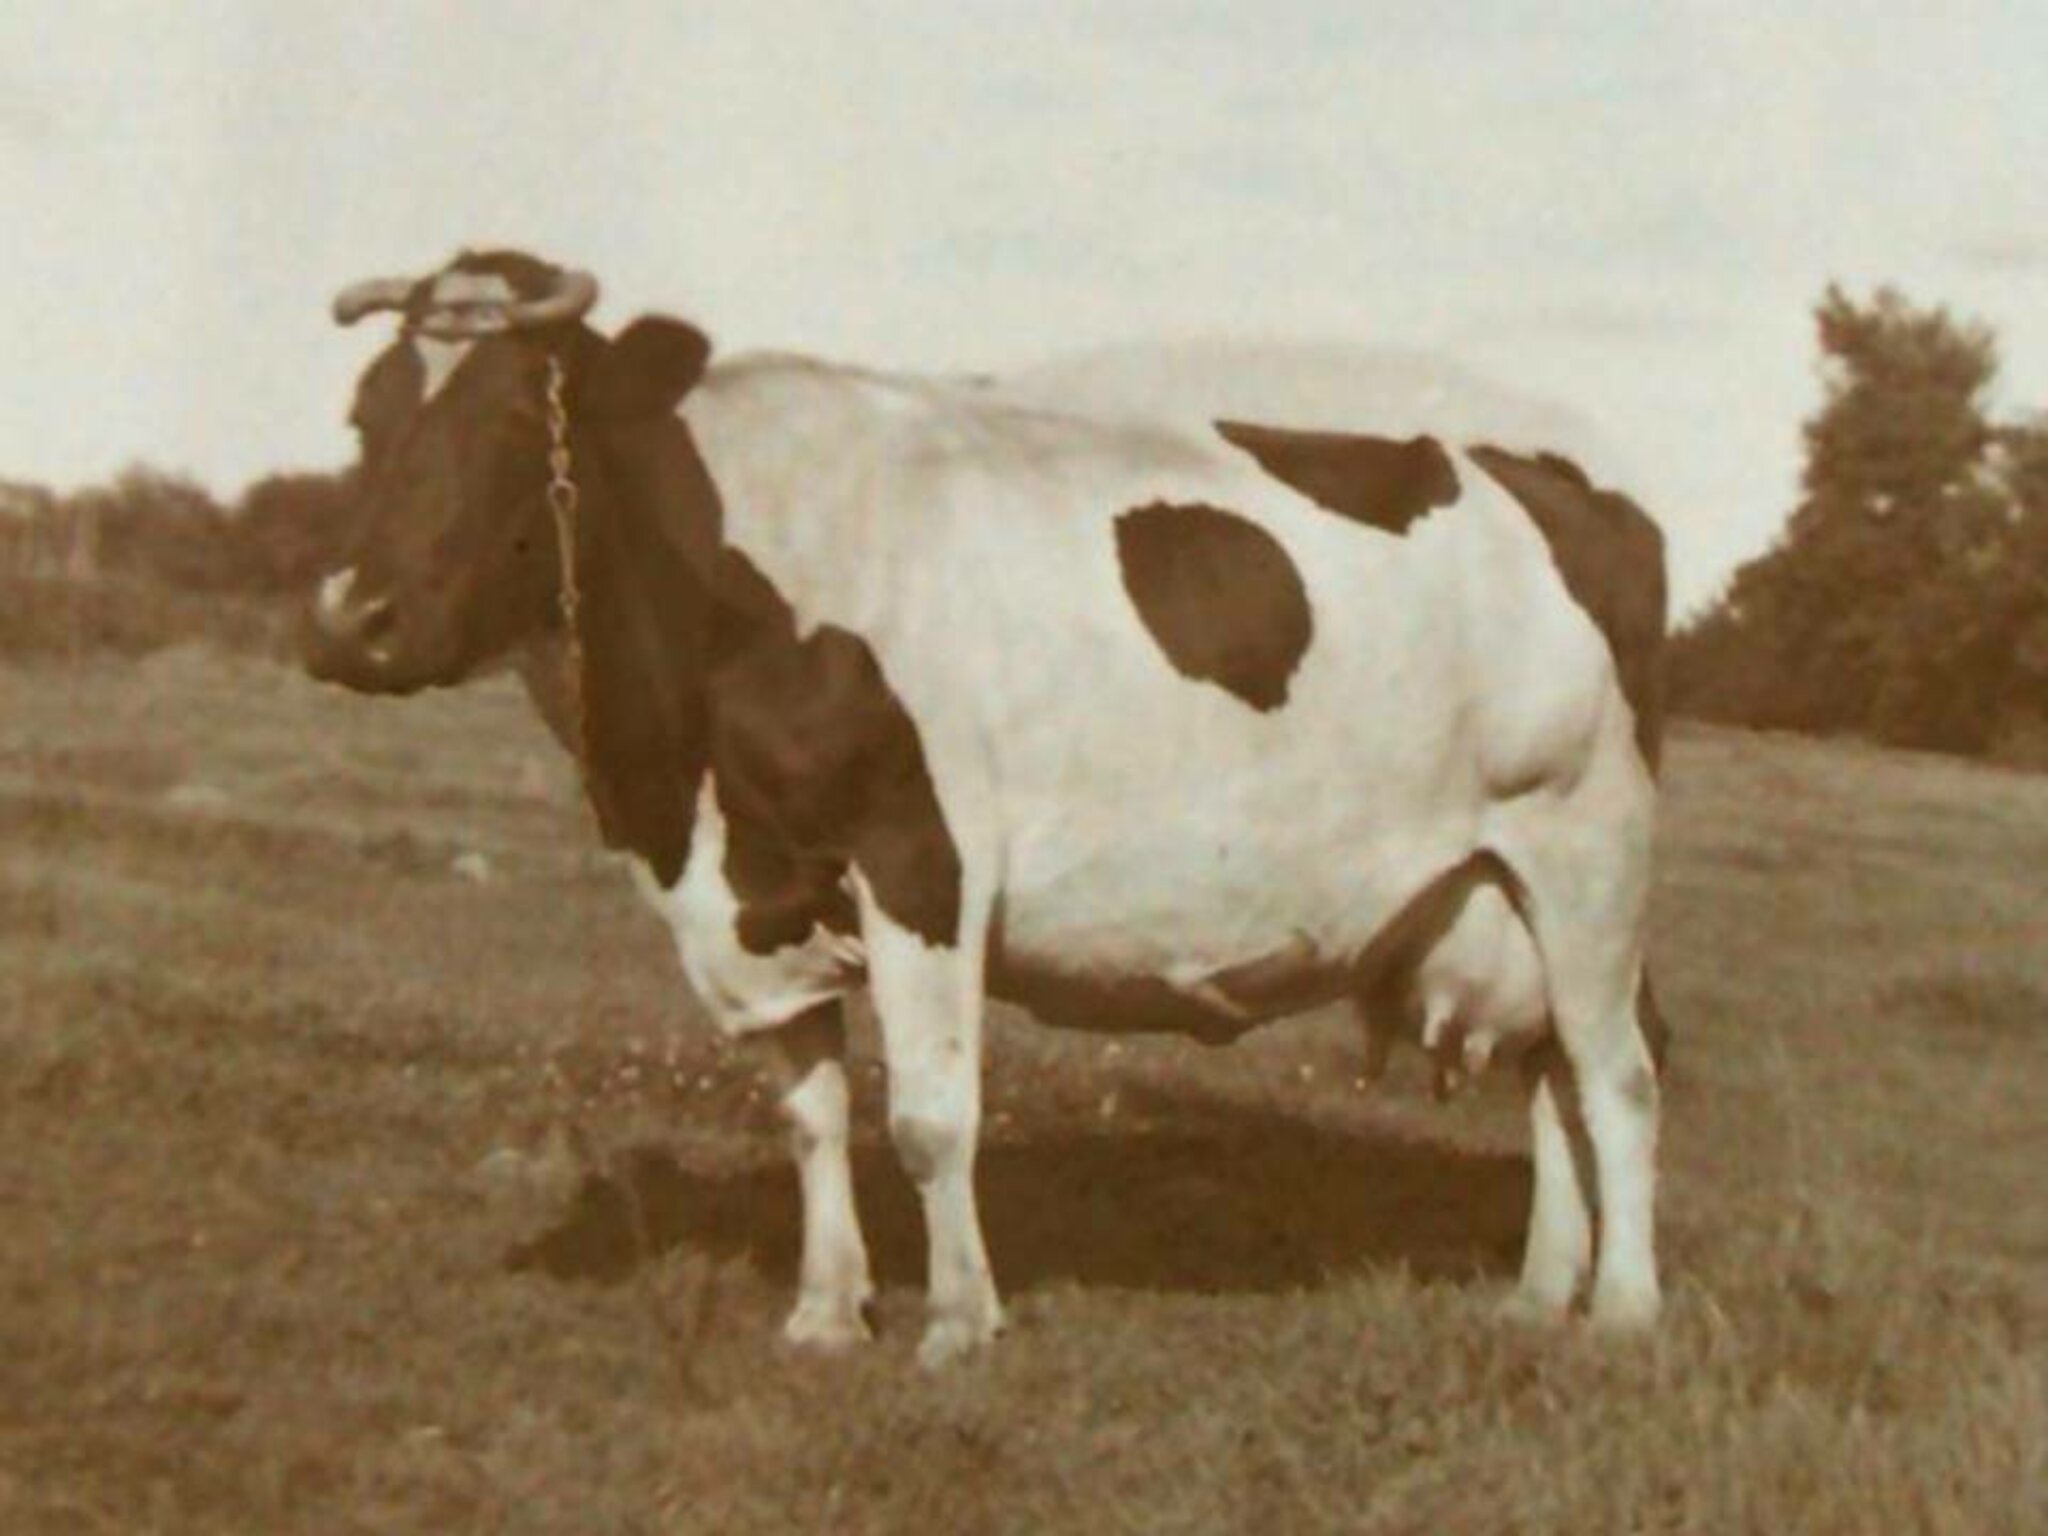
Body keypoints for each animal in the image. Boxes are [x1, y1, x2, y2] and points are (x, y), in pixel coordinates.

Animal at [303, 249, 1670, 1367]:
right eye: (365, 416)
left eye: (508, 418)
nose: (347, 621)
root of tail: (1548, 470)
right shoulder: (759, 896)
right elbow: (811, 1117)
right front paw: (823, 1313)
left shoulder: (920, 857)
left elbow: (927, 1117)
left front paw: (959, 1322)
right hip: (1498, 887)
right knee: (1547, 1072)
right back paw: (1538, 1294)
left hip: (1585, 848)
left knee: (1616, 1076)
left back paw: (1622, 1309)